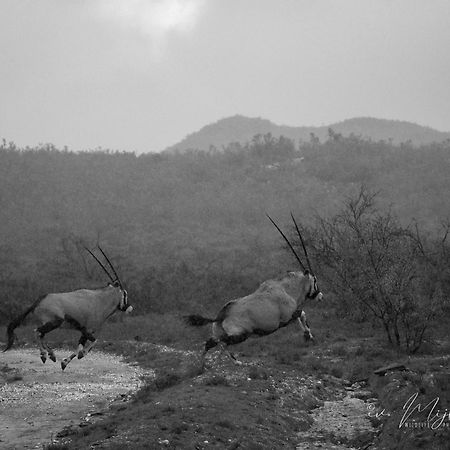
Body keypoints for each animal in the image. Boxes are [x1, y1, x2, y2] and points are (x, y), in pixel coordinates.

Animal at [2, 248, 132, 370]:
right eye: (125, 293)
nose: (129, 308)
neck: (100, 300)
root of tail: (40, 300)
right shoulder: (87, 330)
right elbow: (93, 342)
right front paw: (80, 355)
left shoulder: (83, 332)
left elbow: (79, 346)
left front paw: (65, 362)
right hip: (55, 322)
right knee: (37, 332)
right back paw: (44, 355)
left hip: (49, 324)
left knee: (41, 334)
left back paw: (51, 355)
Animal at [185, 213, 322, 364]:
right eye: (315, 280)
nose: (320, 295)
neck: (287, 289)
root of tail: (221, 315)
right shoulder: (287, 317)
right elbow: (302, 314)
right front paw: (308, 336)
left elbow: (301, 315)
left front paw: (308, 336)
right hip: (242, 334)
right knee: (223, 343)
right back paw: (229, 361)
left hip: (220, 333)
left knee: (211, 343)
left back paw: (204, 364)